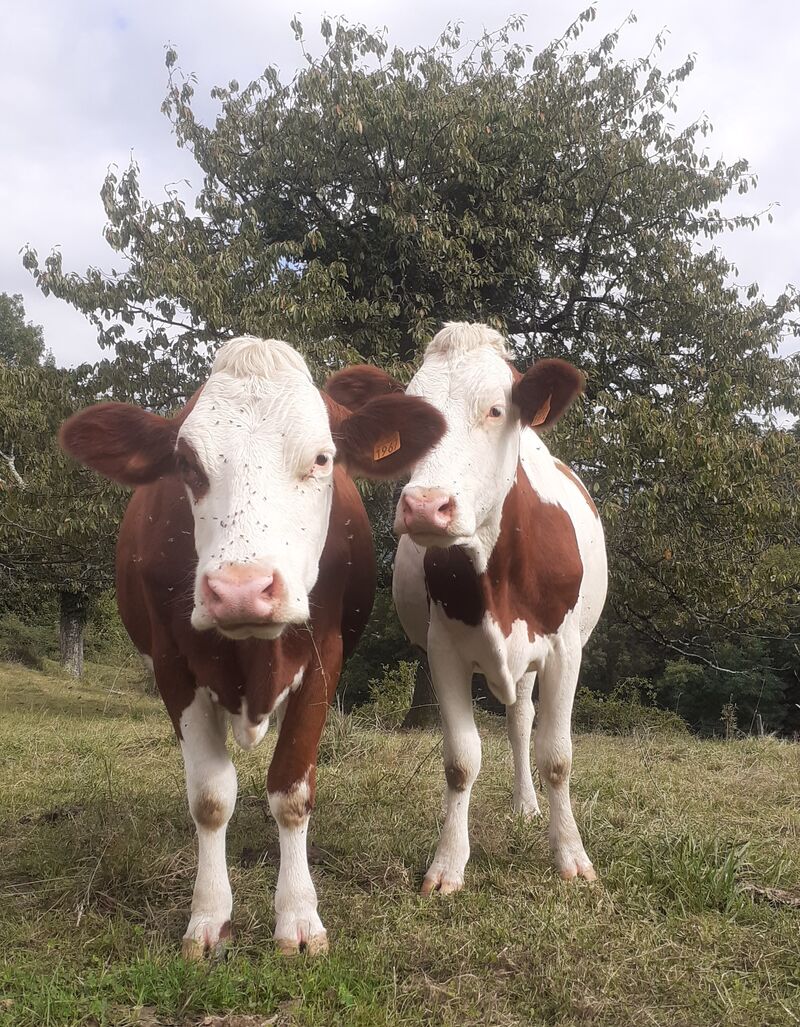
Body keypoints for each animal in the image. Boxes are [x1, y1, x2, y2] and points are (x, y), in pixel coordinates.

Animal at [60, 336, 445, 956]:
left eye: (322, 458)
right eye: (186, 464)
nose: (241, 589)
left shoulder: (324, 658)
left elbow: (291, 789)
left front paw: (298, 916)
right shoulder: (172, 665)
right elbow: (211, 796)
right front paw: (209, 917)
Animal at [329, 322, 607, 893]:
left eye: (496, 410)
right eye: (410, 421)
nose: (424, 506)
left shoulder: (565, 649)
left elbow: (557, 756)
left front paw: (570, 855)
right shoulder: (443, 651)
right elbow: (461, 760)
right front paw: (447, 865)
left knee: (523, 722)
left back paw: (527, 806)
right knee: (518, 718)